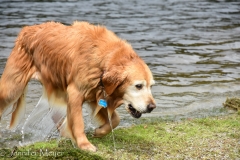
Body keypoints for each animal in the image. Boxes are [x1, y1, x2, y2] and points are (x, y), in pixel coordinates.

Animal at [0, 21, 156, 151]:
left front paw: (99, 132)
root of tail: (26, 29)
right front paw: (84, 144)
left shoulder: (97, 94)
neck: (103, 59)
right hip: (12, 87)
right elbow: (78, 122)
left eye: (151, 86)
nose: (152, 107)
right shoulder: (75, 92)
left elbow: (116, 120)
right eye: (138, 86)